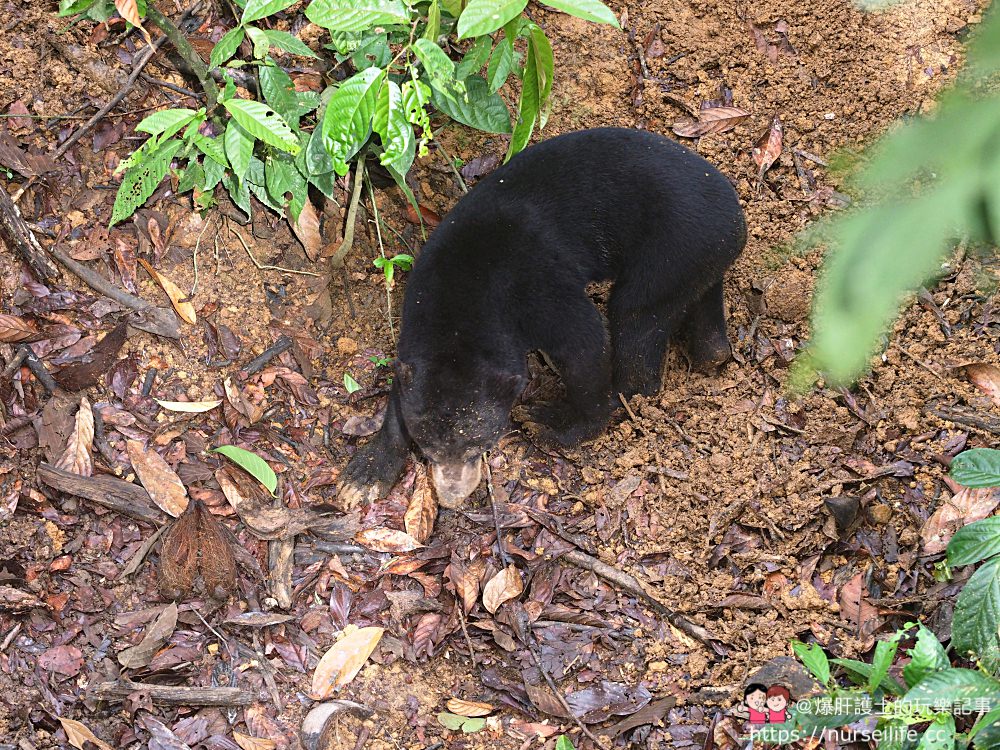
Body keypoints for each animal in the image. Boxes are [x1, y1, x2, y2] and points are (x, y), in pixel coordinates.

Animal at [340, 128, 748, 512]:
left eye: (477, 443)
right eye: (429, 449)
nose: (453, 496)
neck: (459, 297)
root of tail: (737, 218)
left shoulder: (533, 288)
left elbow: (584, 341)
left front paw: (554, 424)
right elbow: (401, 388)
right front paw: (363, 476)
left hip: (672, 248)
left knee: (634, 316)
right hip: (696, 260)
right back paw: (712, 351)